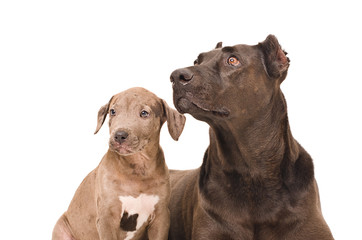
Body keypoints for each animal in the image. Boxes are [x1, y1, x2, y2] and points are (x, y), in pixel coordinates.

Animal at [52, 87, 187, 239]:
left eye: (144, 113)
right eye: (112, 111)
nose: (119, 135)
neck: (138, 168)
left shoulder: (161, 217)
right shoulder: (107, 217)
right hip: (61, 228)